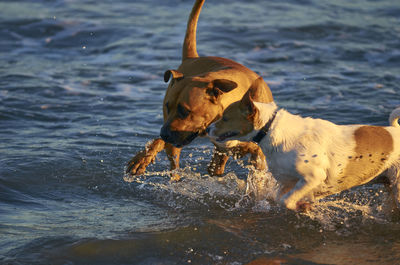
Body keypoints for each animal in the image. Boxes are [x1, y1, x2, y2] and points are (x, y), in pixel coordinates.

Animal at [208, 76, 400, 210]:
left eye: (225, 118)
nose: (207, 129)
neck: (271, 129)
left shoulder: (313, 177)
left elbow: (286, 201)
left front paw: (301, 206)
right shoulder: (287, 182)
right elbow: (280, 198)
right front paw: (302, 205)